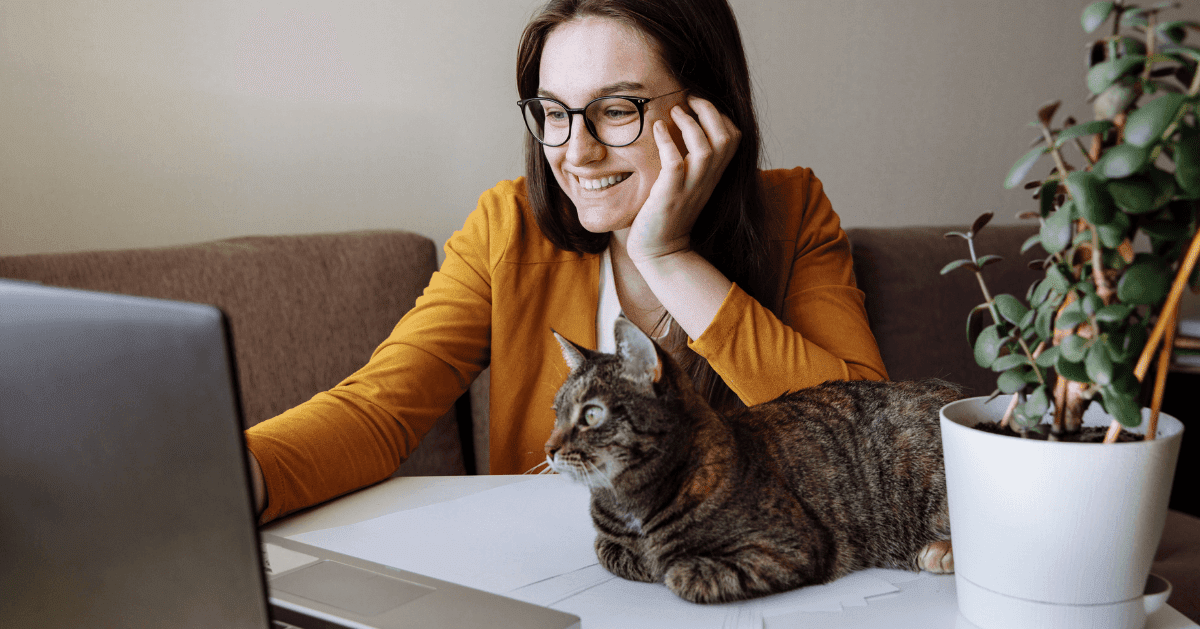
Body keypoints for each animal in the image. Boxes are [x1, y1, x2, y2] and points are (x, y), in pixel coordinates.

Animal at [549, 319, 960, 604]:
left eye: (591, 415)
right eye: (557, 413)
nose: (549, 448)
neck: (629, 501)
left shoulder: (790, 548)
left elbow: (679, 573)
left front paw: (665, 561)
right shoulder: (608, 543)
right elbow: (609, 552)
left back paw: (939, 552)